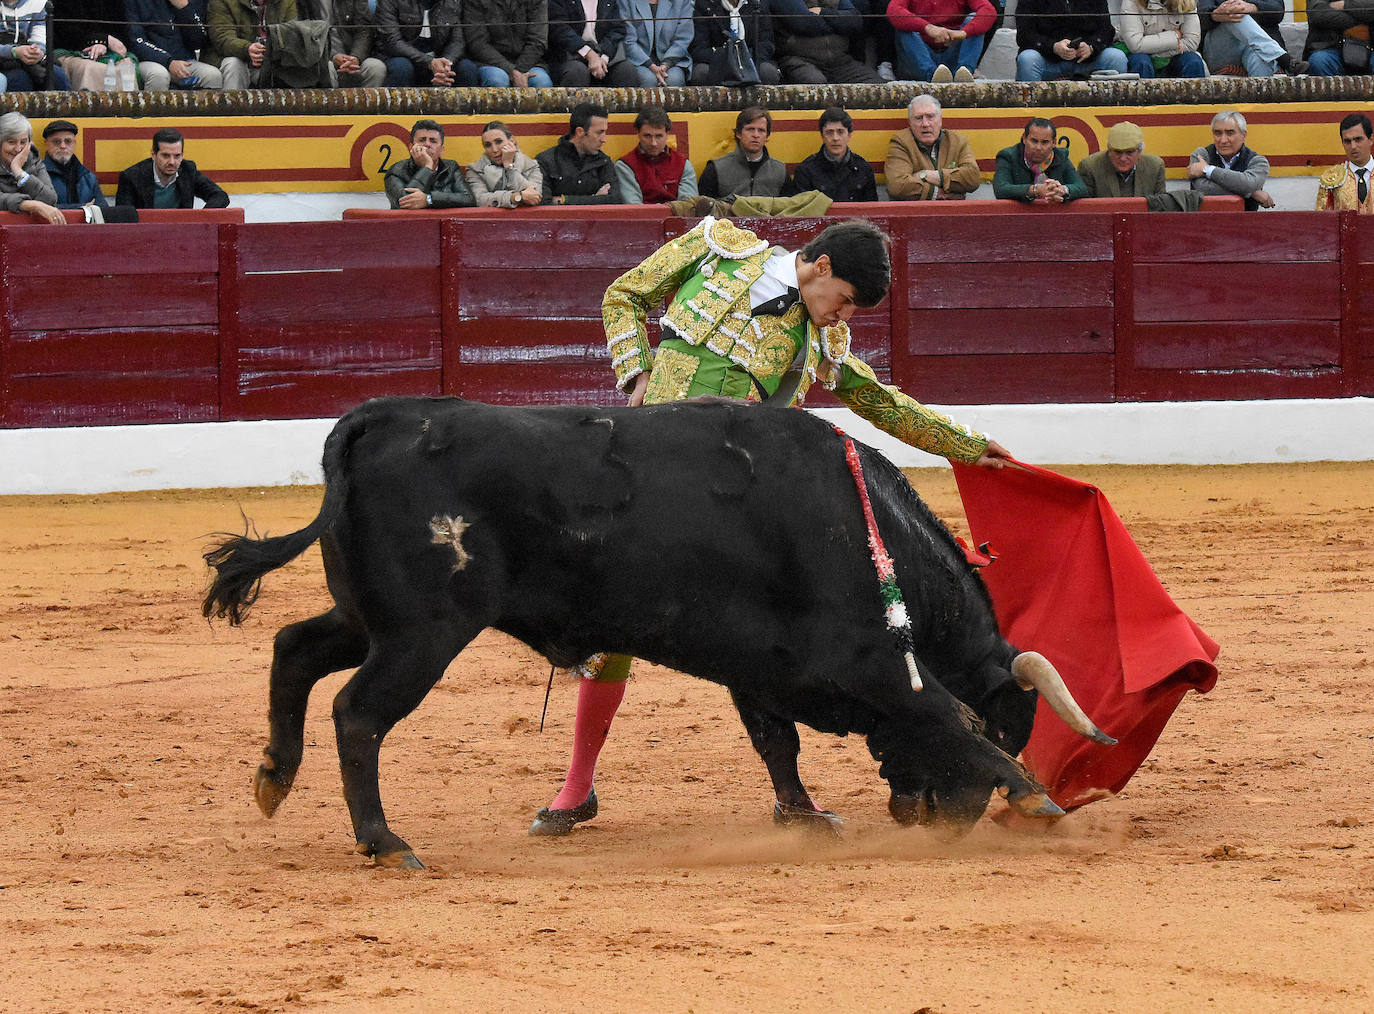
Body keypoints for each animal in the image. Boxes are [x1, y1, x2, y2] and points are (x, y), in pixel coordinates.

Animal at [200, 392, 1104, 862]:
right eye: (1013, 724)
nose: (948, 822)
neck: (860, 525)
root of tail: (380, 417)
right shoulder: (871, 660)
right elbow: (940, 714)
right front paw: (1036, 799)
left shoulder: (764, 667)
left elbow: (777, 742)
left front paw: (805, 816)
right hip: (425, 631)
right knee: (357, 712)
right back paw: (386, 841)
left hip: (373, 618)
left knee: (294, 649)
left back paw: (274, 777)